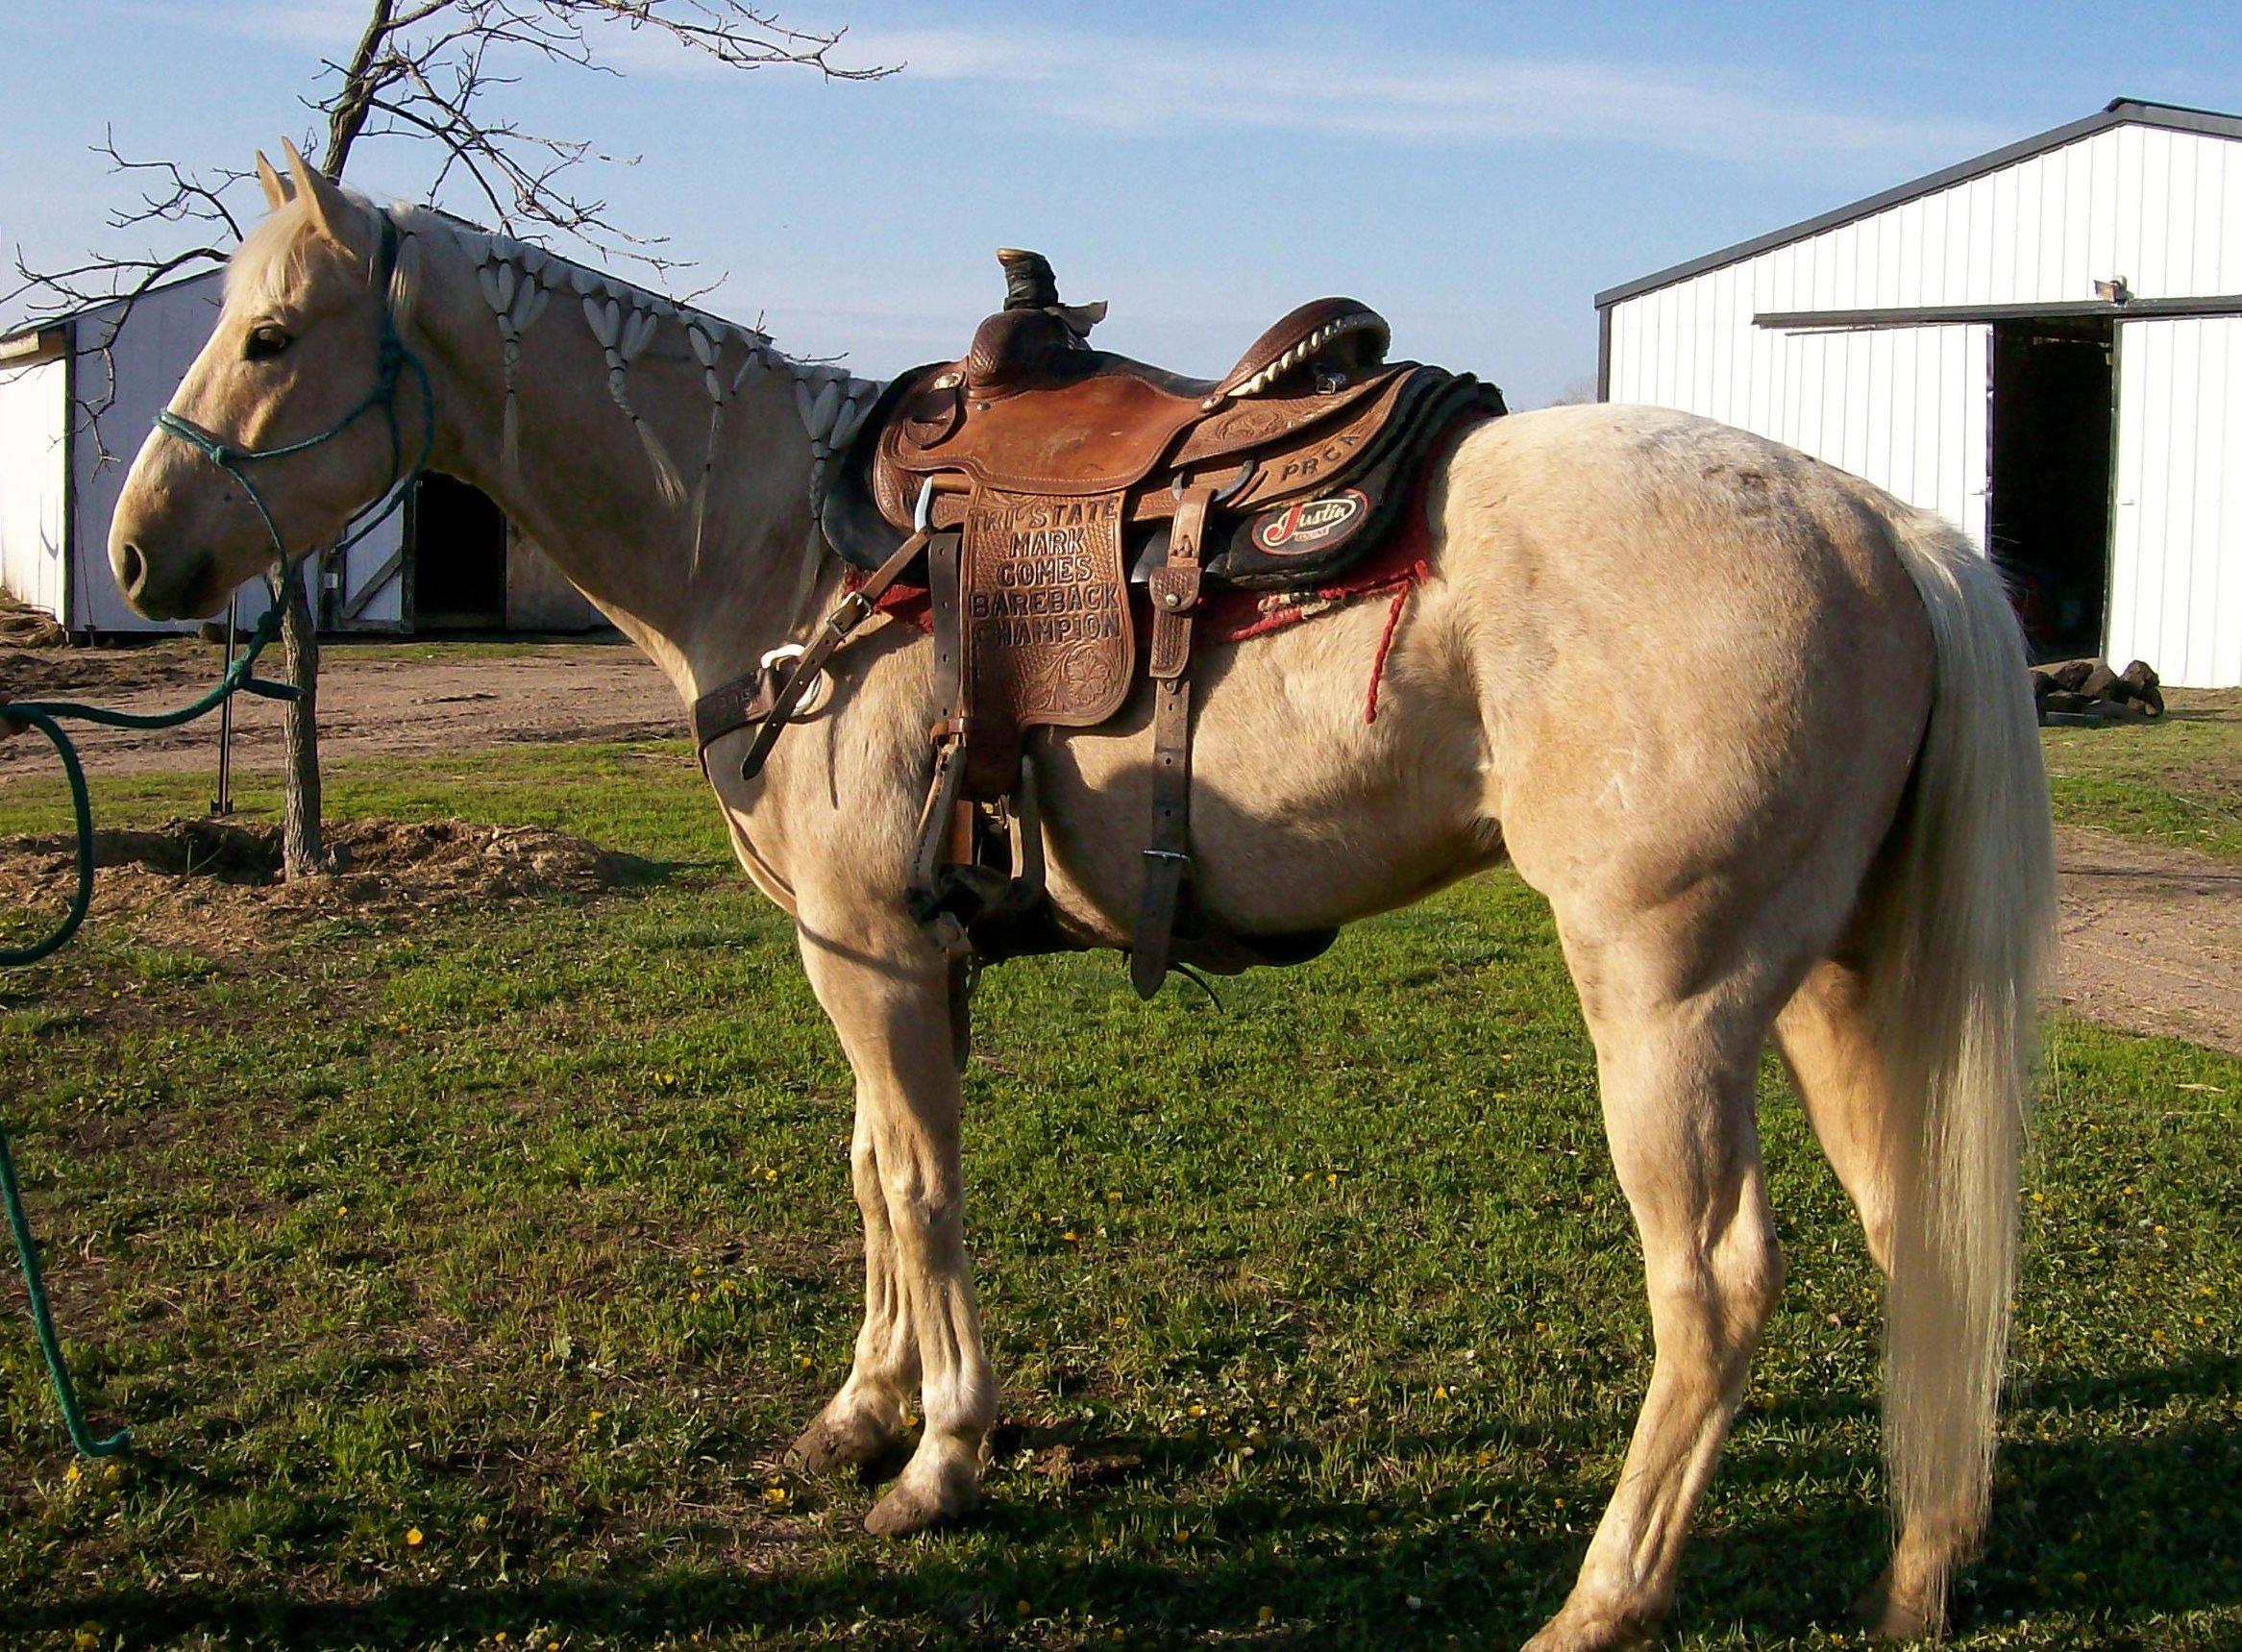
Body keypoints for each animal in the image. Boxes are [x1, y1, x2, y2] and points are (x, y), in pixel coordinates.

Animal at [113, 147, 2054, 1640]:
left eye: (270, 333)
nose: (138, 551)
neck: (780, 546)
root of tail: (1885, 527)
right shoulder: (886, 950)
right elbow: (872, 1173)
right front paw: (860, 1406)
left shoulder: (873, 950)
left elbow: (918, 1183)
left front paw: (939, 1453)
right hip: (1829, 989)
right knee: (1918, 1232)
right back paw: (1915, 1569)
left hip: (1669, 1004)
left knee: (1712, 1285)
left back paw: (1603, 1593)